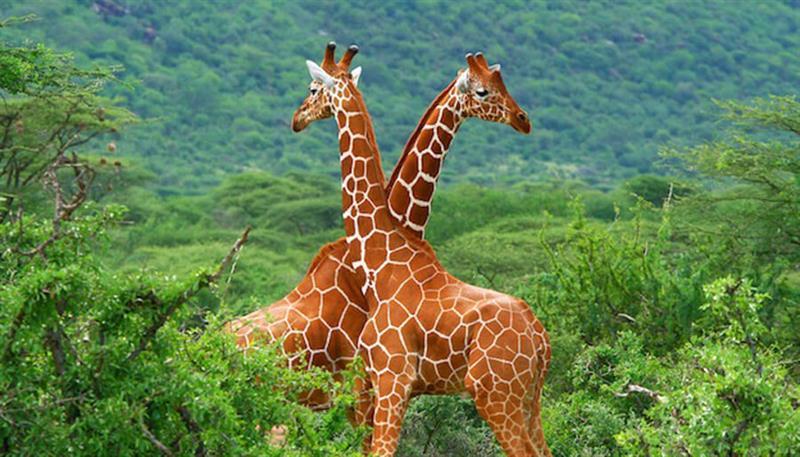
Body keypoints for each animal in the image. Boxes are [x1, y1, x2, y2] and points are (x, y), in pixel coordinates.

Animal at [292, 44, 551, 457]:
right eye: (484, 90)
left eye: (313, 89)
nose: (296, 118)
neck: (380, 259)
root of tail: (541, 341)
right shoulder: (380, 386)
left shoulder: (390, 378)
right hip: (529, 400)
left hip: (497, 394)